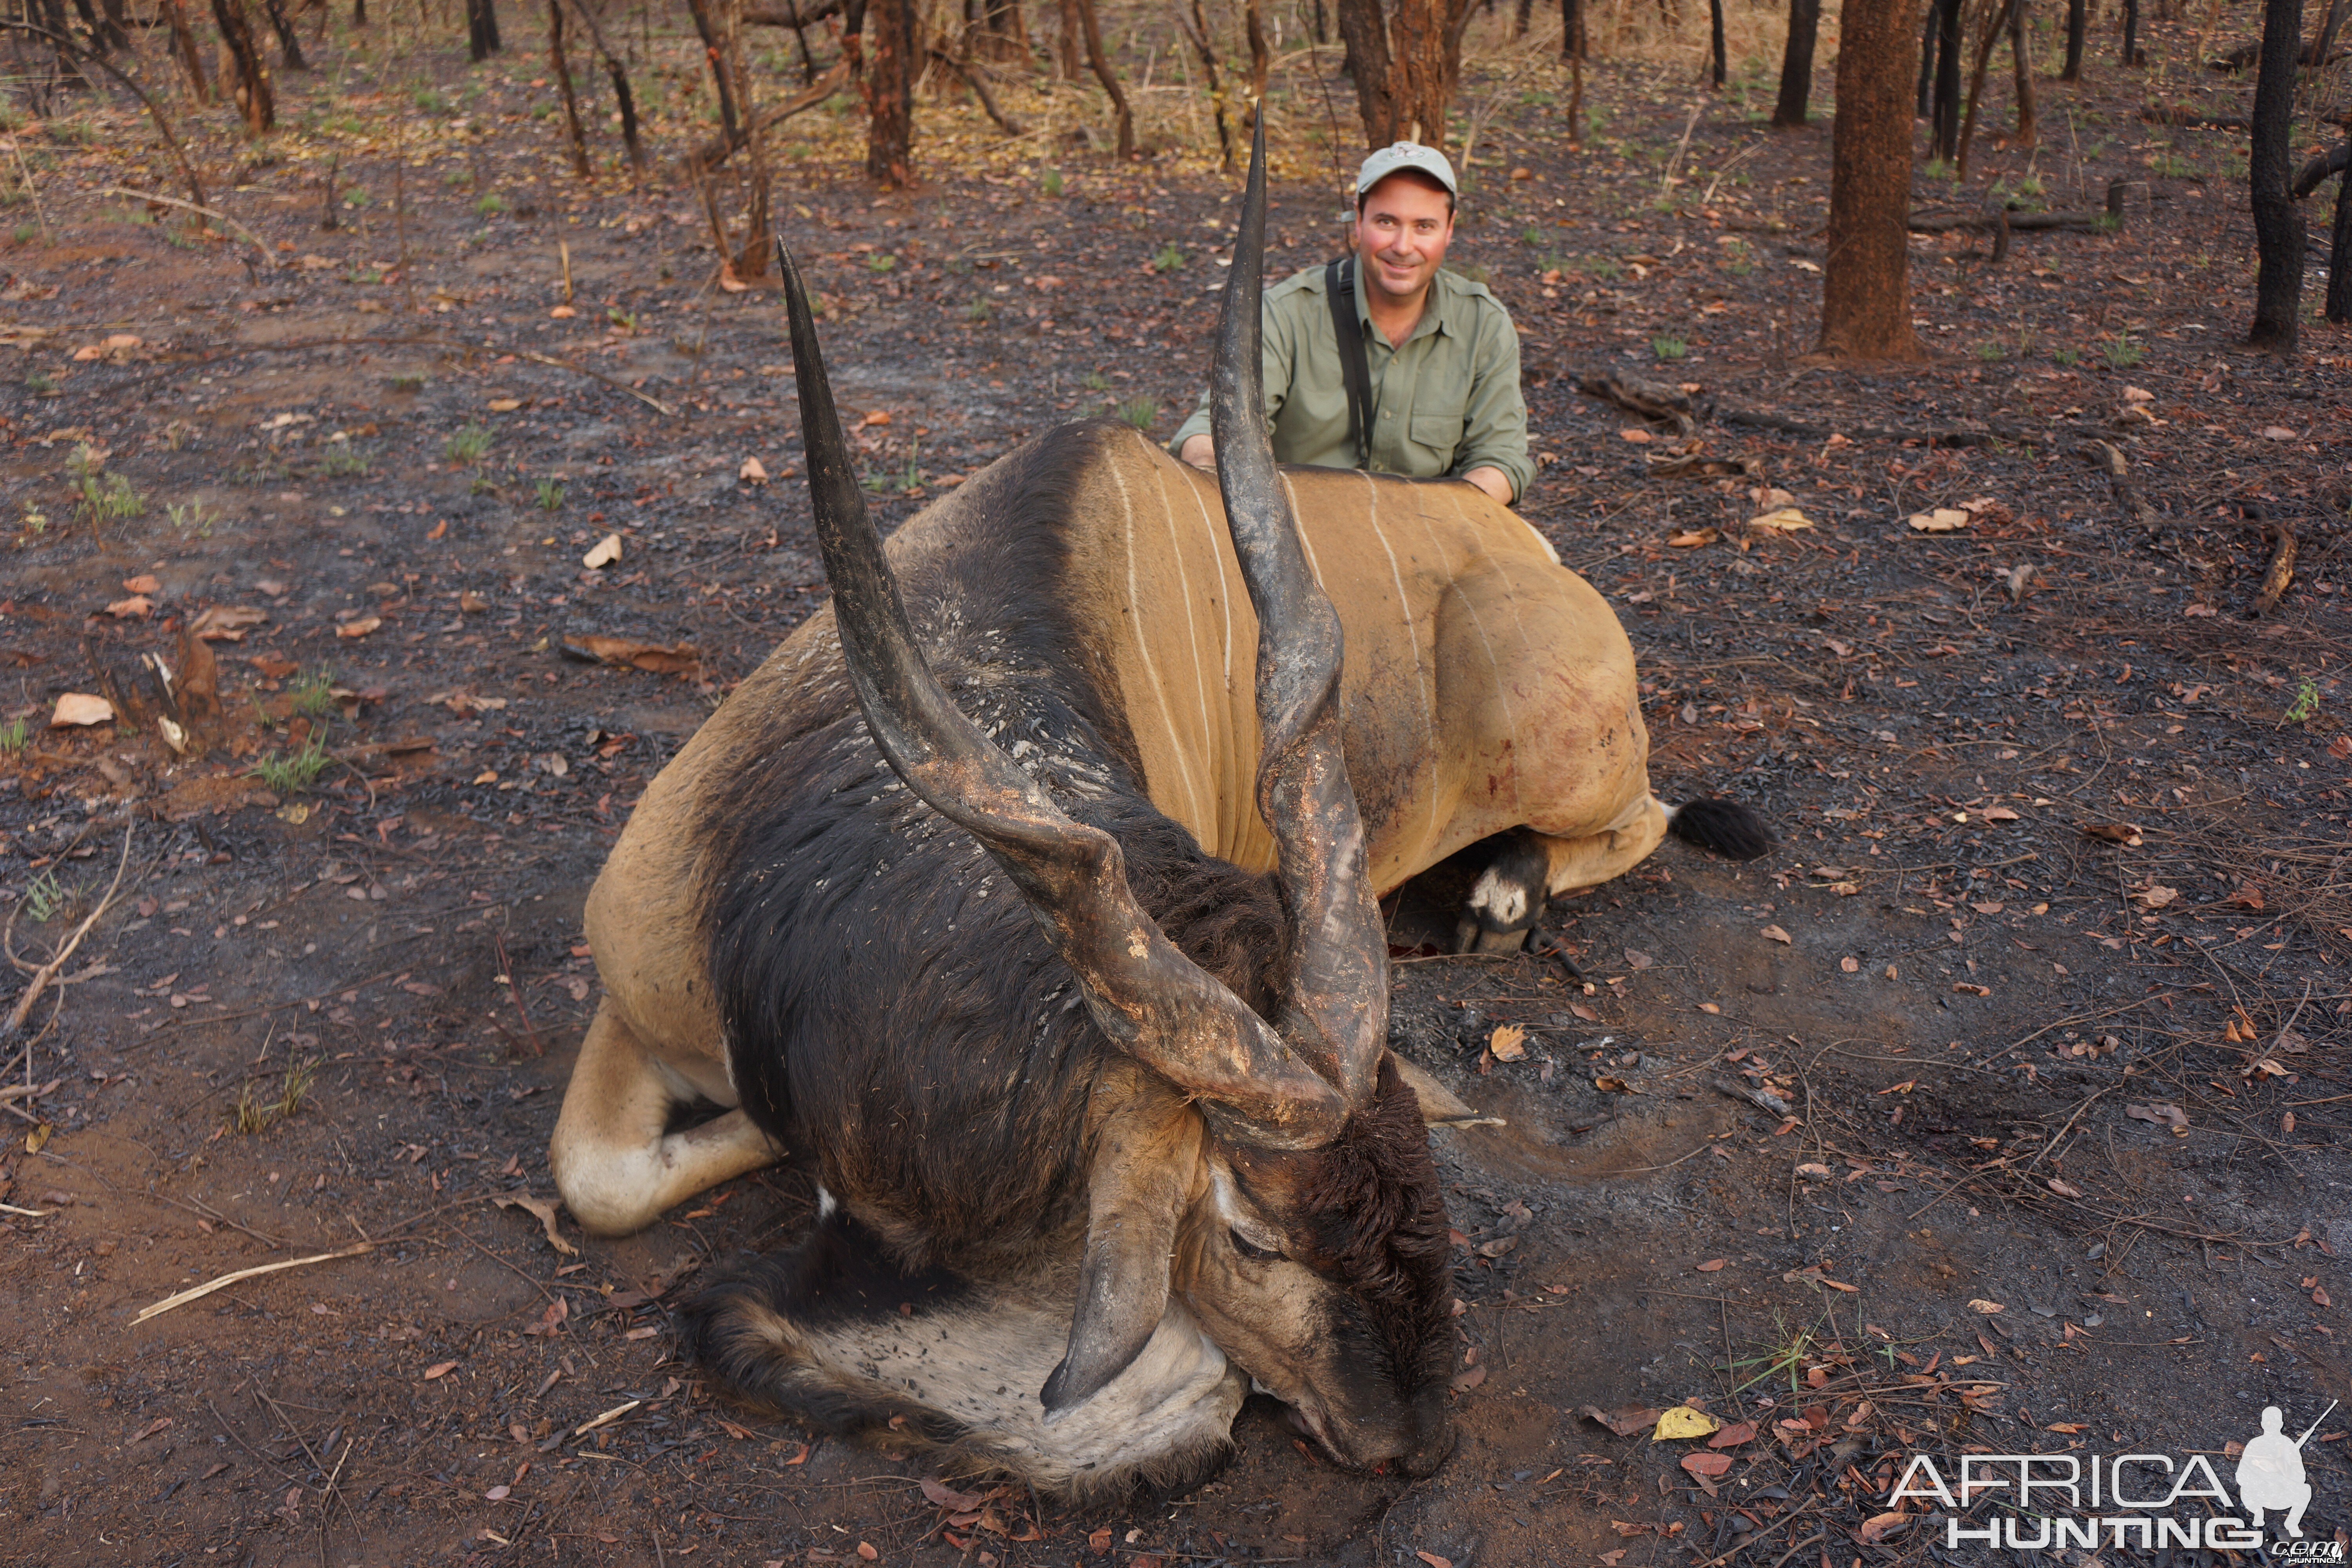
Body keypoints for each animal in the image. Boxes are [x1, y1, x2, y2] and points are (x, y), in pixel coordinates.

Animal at [550, 138, 1769, 1495]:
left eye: (1425, 1177)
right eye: (1252, 1237)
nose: (1418, 1439)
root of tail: (1533, 553)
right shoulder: (632, 986)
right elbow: (598, 1182)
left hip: (1564, 742)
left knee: (1646, 815)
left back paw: (1499, 892)